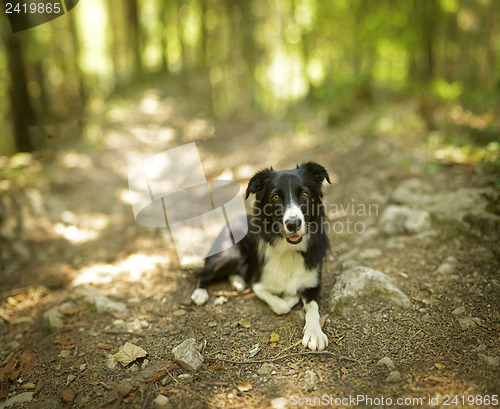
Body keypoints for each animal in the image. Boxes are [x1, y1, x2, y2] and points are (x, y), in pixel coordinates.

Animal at [191, 161, 332, 350]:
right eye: (275, 197)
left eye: (304, 194)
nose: (293, 224)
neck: (289, 249)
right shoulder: (259, 283)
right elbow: (281, 305)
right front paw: (289, 297)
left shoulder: (314, 285)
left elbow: (312, 309)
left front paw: (314, 333)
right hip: (233, 253)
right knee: (201, 273)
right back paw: (201, 293)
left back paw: (238, 281)